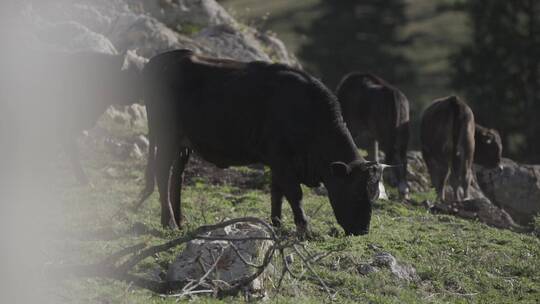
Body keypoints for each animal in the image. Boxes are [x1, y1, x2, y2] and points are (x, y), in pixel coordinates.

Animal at [138, 49, 384, 235]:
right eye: (355, 193)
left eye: (373, 194)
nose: (363, 230)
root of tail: (161, 59)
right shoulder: (281, 158)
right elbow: (294, 193)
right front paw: (304, 229)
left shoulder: (279, 162)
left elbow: (277, 192)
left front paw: (277, 224)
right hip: (167, 135)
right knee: (162, 172)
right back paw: (169, 222)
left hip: (183, 143)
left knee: (176, 175)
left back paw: (180, 221)